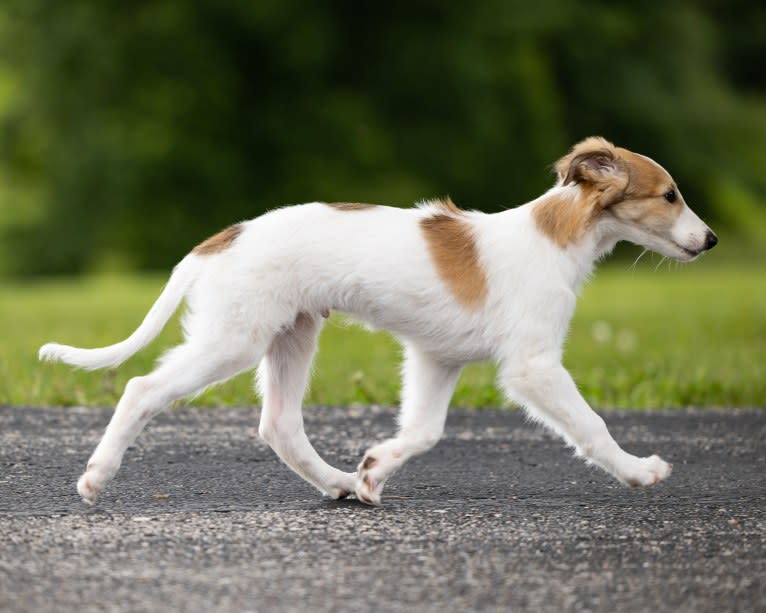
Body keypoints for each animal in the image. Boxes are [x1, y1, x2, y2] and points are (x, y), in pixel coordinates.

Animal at [37, 136, 720, 504]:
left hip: (292, 335)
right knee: (139, 388)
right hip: (235, 338)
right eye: (670, 195)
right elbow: (592, 426)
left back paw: (339, 482)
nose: (711, 240)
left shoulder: (436, 359)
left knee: (279, 424)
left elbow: (423, 432)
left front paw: (373, 472)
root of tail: (222, 239)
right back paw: (96, 477)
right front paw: (640, 471)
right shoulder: (533, 366)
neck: (556, 238)